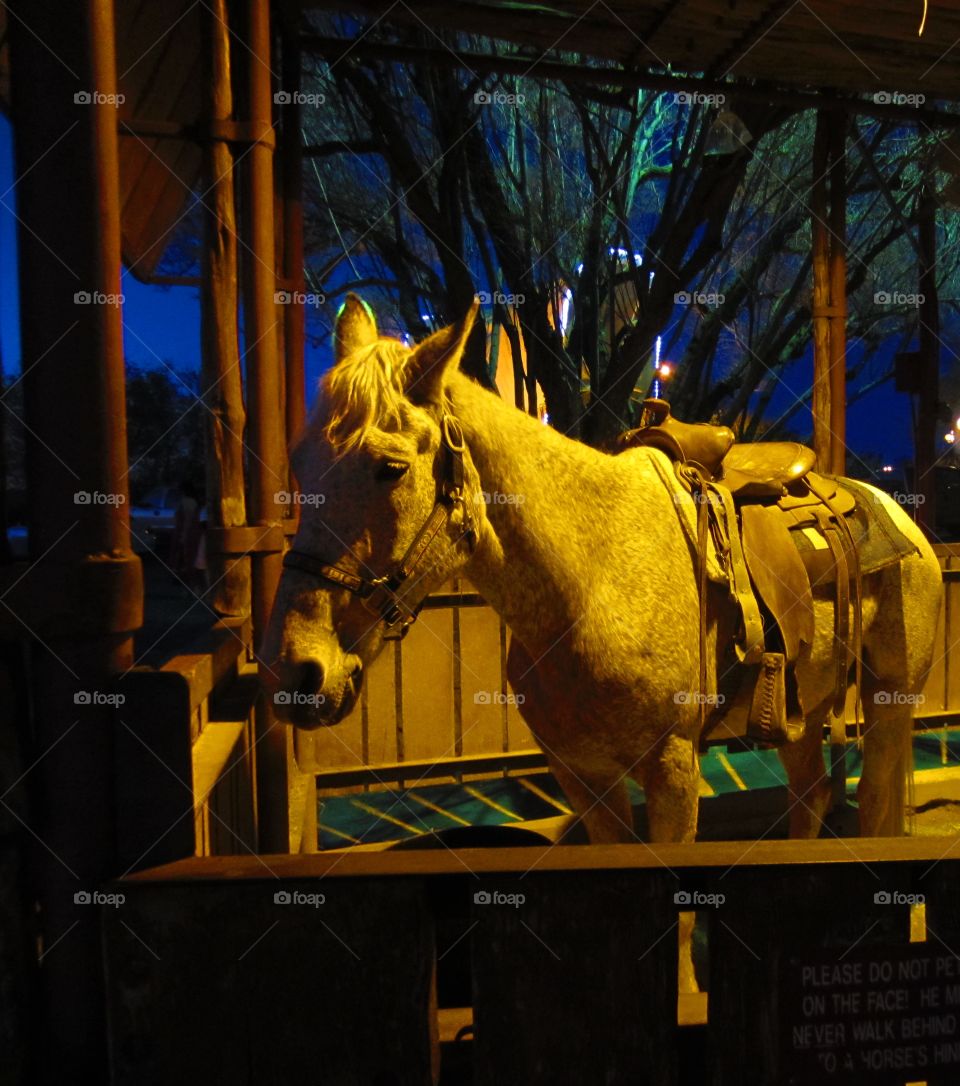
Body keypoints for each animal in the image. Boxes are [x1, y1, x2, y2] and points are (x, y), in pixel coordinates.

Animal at [260, 295, 946, 994]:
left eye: (391, 467)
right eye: (299, 462)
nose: (298, 671)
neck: (593, 575)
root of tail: (892, 506)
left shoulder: (672, 767)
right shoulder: (581, 774)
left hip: (890, 701)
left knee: (877, 803)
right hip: (801, 708)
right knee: (812, 793)